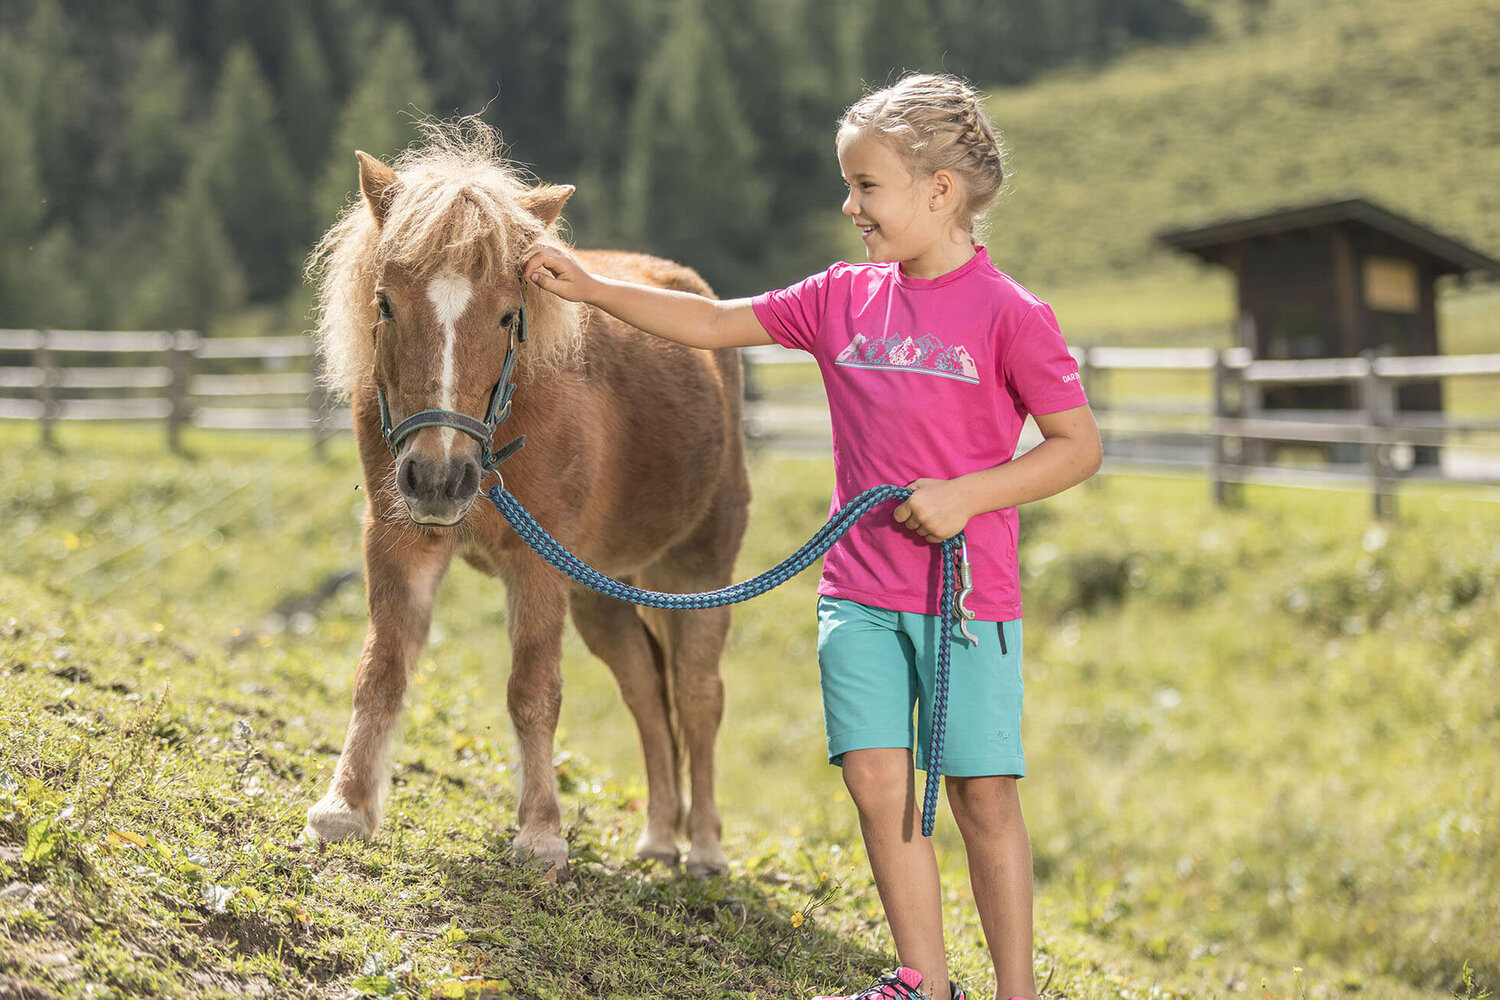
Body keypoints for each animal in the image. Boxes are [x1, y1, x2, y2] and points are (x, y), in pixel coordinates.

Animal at [301, 122, 750, 876]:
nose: (439, 478)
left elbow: (534, 691)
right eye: (385, 303)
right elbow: (381, 669)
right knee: (646, 694)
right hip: (601, 592)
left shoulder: (537, 567)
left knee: (698, 696)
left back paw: (706, 848)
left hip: (696, 571)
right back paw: (660, 835)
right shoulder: (398, 539)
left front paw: (540, 832)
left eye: (510, 316)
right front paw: (346, 806)